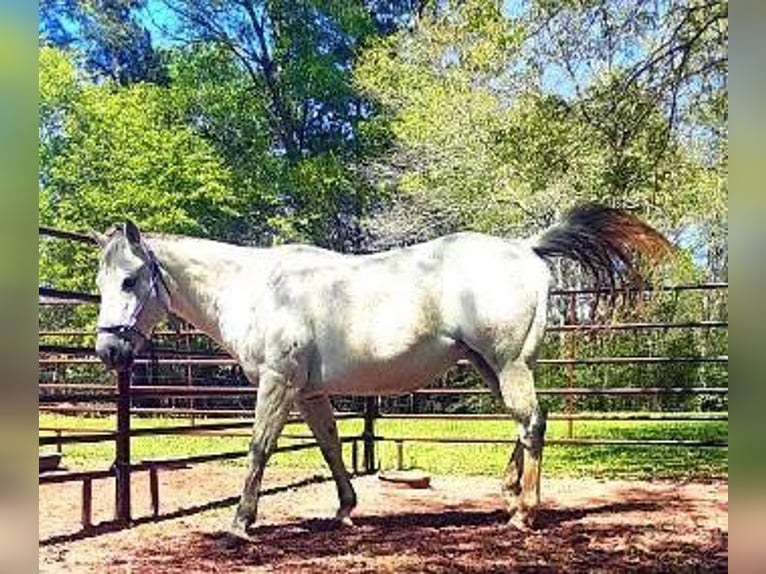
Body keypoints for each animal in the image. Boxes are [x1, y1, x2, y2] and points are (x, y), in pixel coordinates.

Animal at [91, 206, 672, 540]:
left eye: (128, 280)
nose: (109, 351)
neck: (259, 289)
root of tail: (525, 249)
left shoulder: (278, 383)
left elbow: (259, 448)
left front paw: (240, 524)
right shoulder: (308, 393)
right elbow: (329, 445)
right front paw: (345, 510)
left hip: (507, 364)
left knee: (531, 424)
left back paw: (523, 514)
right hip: (489, 365)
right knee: (524, 423)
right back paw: (508, 494)